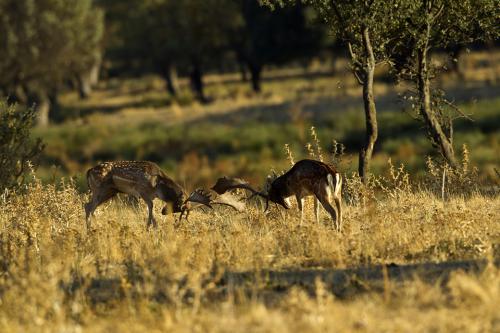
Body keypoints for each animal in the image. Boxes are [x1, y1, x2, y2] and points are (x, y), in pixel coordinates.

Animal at [85, 161, 244, 230]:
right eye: (181, 209)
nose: (164, 211)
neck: (159, 185)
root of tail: (88, 171)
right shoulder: (143, 192)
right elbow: (151, 209)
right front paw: (151, 227)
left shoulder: (150, 196)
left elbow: (151, 210)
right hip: (100, 189)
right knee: (89, 207)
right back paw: (91, 229)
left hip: (110, 191)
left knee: (88, 206)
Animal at [211, 159, 344, 231]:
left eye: (272, 196)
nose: (287, 206)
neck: (288, 182)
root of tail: (334, 174)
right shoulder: (312, 194)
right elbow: (316, 210)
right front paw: (316, 225)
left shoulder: (299, 192)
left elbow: (301, 210)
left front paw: (299, 225)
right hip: (337, 194)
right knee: (340, 210)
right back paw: (340, 228)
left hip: (323, 194)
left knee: (333, 211)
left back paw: (336, 229)